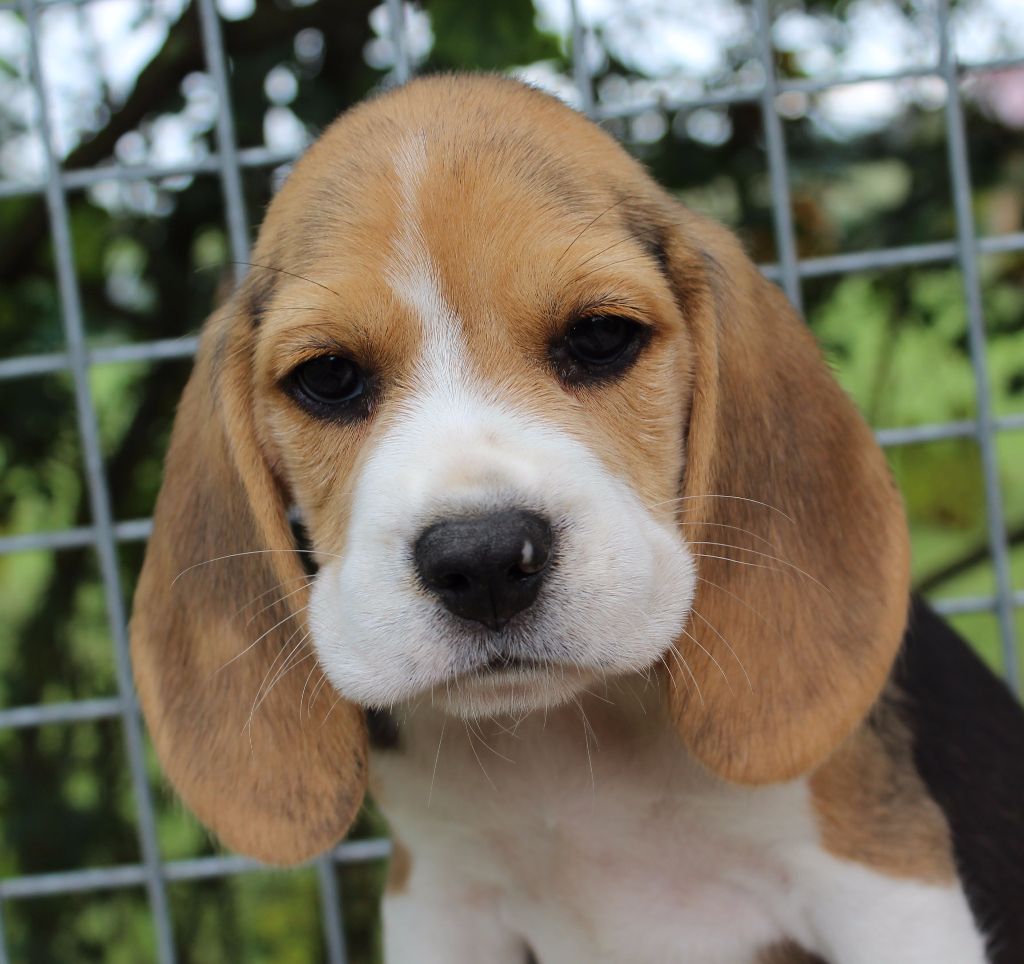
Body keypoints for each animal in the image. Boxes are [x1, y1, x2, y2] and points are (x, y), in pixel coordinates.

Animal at [131, 74, 1024, 963]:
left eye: (600, 336)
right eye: (328, 377)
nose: (483, 560)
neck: (561, 738)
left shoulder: (880, 883)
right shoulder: (440, 898)